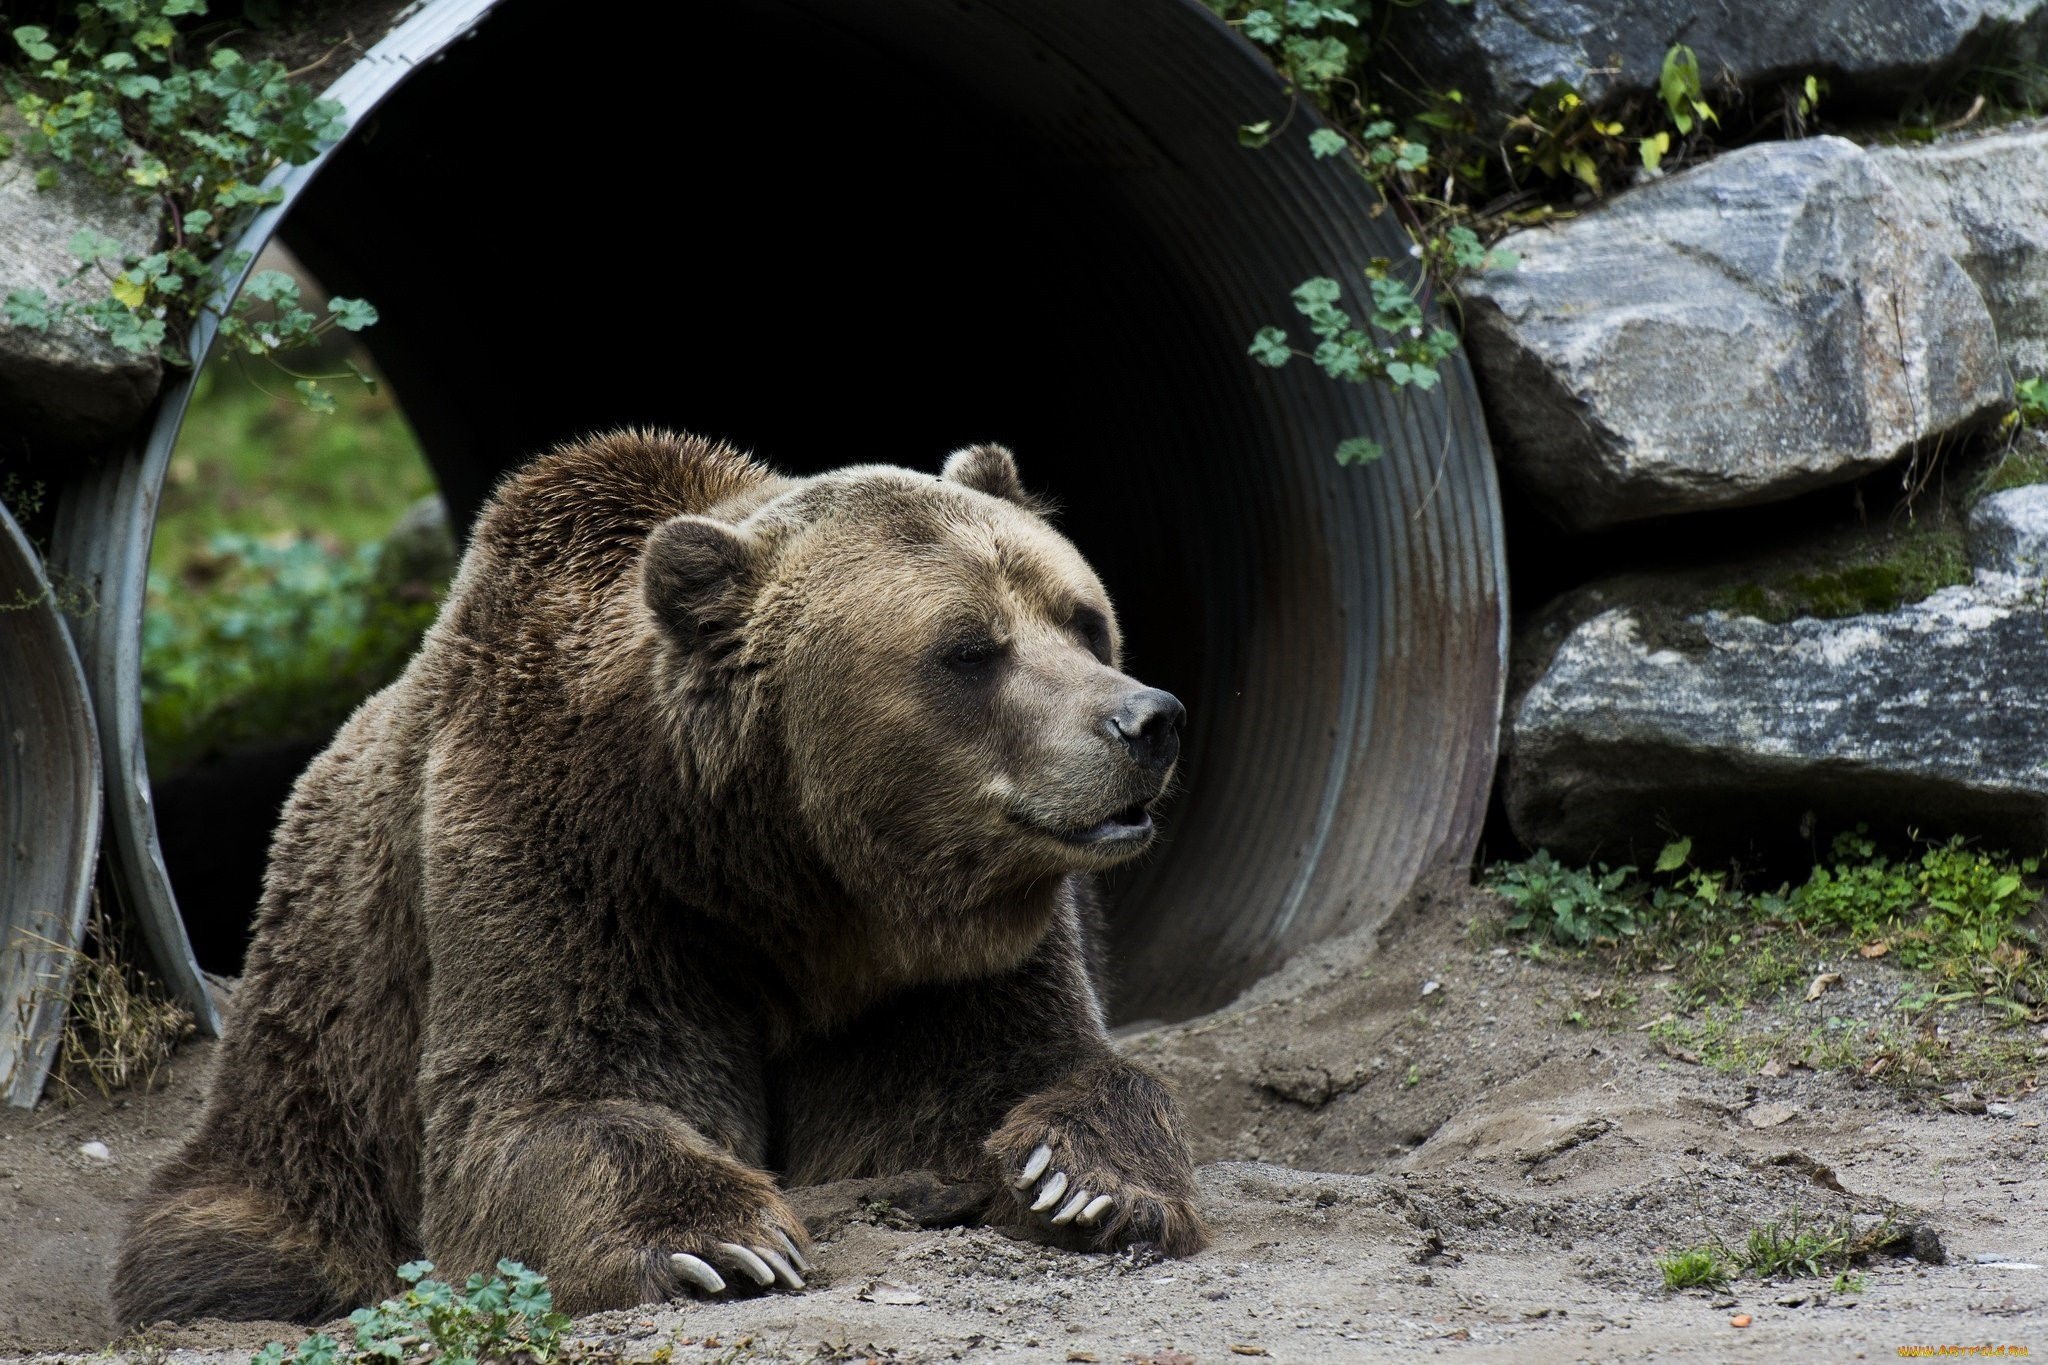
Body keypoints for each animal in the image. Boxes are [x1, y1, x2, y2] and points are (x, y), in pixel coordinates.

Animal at [112, 427, 1204, 1326]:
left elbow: (1019, 1064)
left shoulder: (939, 961)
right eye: (970, 649)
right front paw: (718, 1240)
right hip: (320, 1049)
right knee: (256, 1220)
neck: (790, 877)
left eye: (1083, 619)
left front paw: (1086, 1179)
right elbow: (550, 1099)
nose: (1146, 719)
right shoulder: (571, 865)